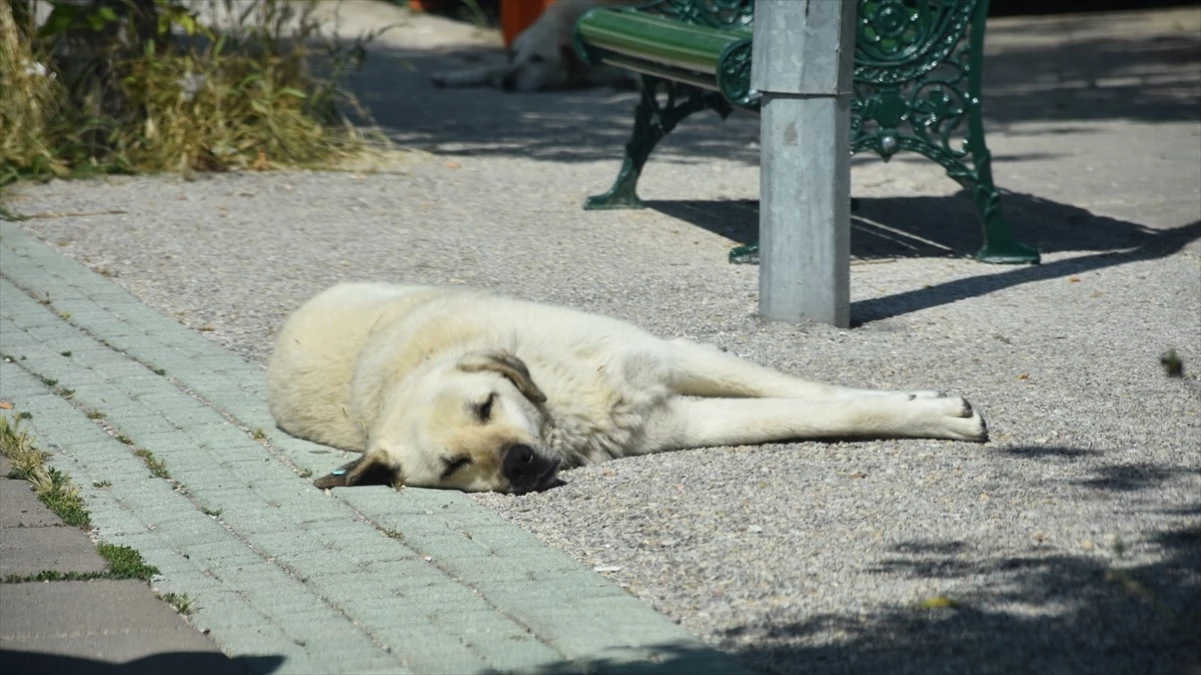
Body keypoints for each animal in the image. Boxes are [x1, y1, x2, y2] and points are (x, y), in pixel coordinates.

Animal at [267, 281, 989, 492]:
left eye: (486, 403)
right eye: (452, 465)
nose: (519, 464)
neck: (562, 411)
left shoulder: (672, 356)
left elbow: (814, 392)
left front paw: (932, 406)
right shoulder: (683, 421)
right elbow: (822, 414)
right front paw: (933, 415)